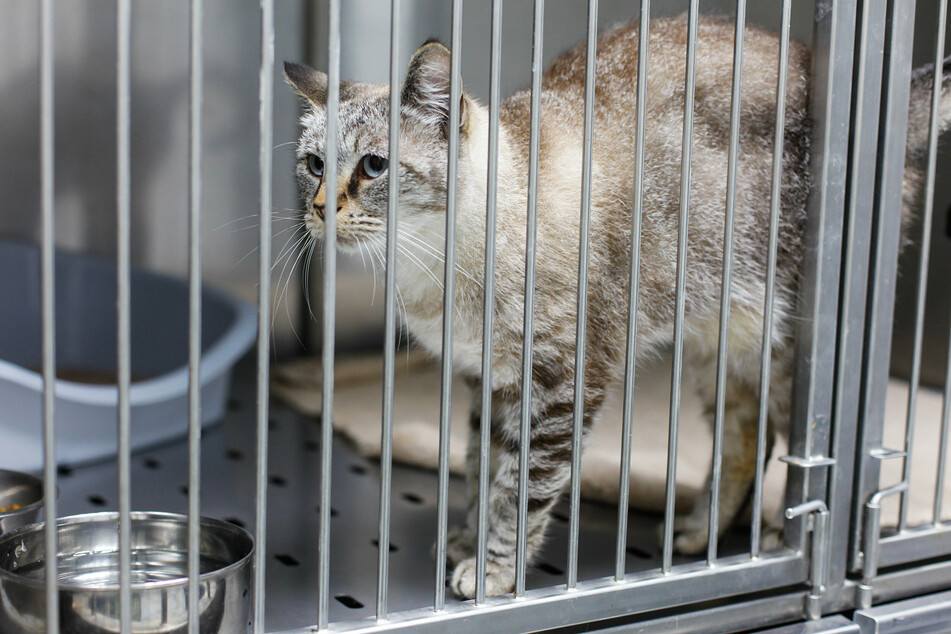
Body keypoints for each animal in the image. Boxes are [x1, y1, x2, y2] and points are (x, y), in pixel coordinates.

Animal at [286, 14, 951, 596]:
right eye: (314, 165)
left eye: (374, 166)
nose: (319, 210)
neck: (433, 268)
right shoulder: (490, 382)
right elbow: (481, 469)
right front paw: (467, 541)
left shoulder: (562, 386)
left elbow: (521, 489)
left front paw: (492, 573)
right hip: (715, 341)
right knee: (746, 434)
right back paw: (698, 534)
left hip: (782, 345)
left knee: (807, 449)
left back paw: (775, 536)